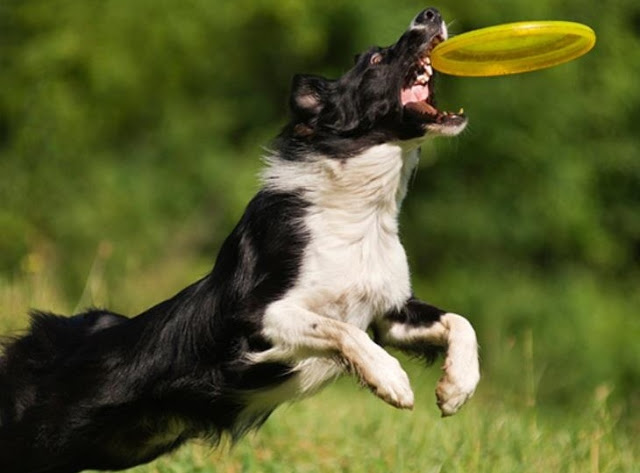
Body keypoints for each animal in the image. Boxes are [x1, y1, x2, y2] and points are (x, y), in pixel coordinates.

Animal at [0, 8, 480, 472]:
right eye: (375, 60)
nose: (430, 13)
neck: (361, 210)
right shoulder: (253, 314)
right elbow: (338, 328)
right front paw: (391, 379)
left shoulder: (387, 313)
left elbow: (460, 322)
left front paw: (456, 387)